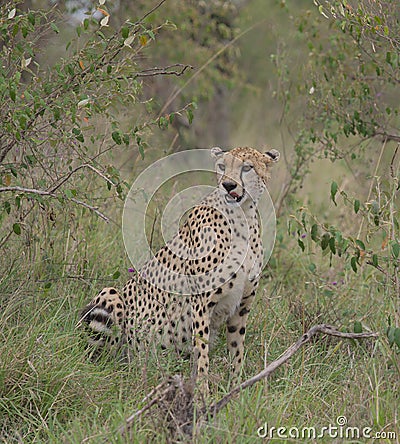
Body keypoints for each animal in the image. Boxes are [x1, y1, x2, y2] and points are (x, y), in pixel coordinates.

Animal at [79, 147, 280, 392]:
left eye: (247, 167)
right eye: (222, 166)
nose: (228, 185)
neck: (242, 220)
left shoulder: (241, 307)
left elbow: (237, 350)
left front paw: (235, 389)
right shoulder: (201, 302)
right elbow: (201, 350)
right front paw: (202, 392)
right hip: (111, 297)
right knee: (103, 360)